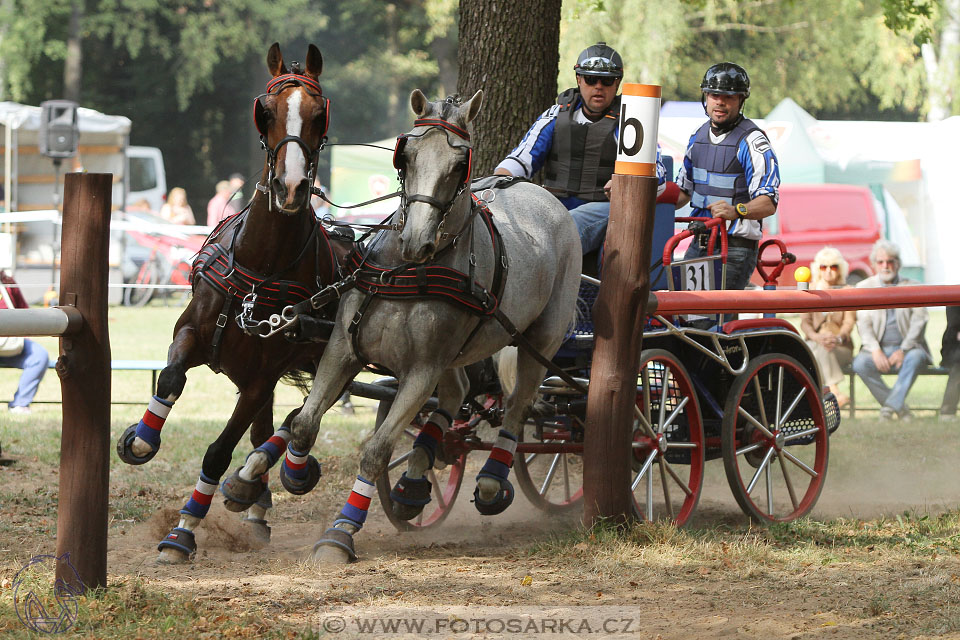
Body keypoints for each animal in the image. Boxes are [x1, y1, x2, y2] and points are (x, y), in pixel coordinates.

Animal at [116, 42, 354, 564]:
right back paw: (257, 504)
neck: (261, 267)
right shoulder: (192, 333)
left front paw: (183, 531)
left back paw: (278, 477)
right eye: (265, 112)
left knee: (297, 419)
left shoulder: (263, 374)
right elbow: (171, 377)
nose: (290, 188)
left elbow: (219, 450)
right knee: (272, 427)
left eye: (319, 114)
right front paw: (141, 440)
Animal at [227, 87, 584, 564]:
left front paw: (341, 532)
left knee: (517, 404)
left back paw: (491, 478)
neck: (406, 271)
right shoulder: (344, 348)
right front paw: (289, 474)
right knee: (457, 392)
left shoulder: (420, 371)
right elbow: (304, 422)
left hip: (538, 339)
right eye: (406, 155)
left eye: (459, 164)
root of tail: (544, 197)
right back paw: (415, 480)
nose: (417, 241)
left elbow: (376, 450)